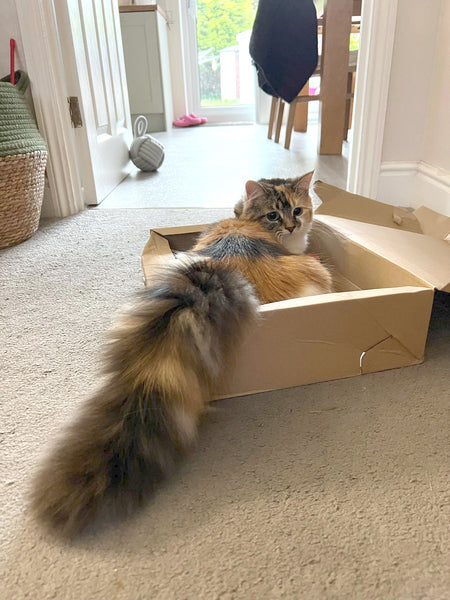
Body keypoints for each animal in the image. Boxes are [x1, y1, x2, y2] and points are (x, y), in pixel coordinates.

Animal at [30, 170, 330, 540]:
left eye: (298, 211)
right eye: (274, 216)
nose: (291, 226)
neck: (243, 221)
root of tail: (220, 270)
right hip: (321, 274)